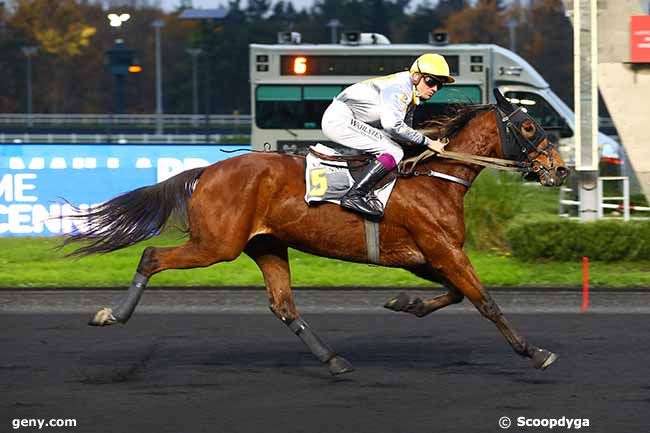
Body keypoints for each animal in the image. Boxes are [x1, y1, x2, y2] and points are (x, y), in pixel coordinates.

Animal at [63, 90, 564, 374]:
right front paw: (534, 351)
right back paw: (111, 314)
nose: (559, 169)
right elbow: (486, 301)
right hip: (216, 245)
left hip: (266, 245)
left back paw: (333, 359)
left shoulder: (425, 257)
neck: (436, 179)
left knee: (283, 306)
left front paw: (404, 303)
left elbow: (457, 295)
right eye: (528, 125)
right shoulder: (442, 250)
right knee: (152, 257)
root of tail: (207, 170)